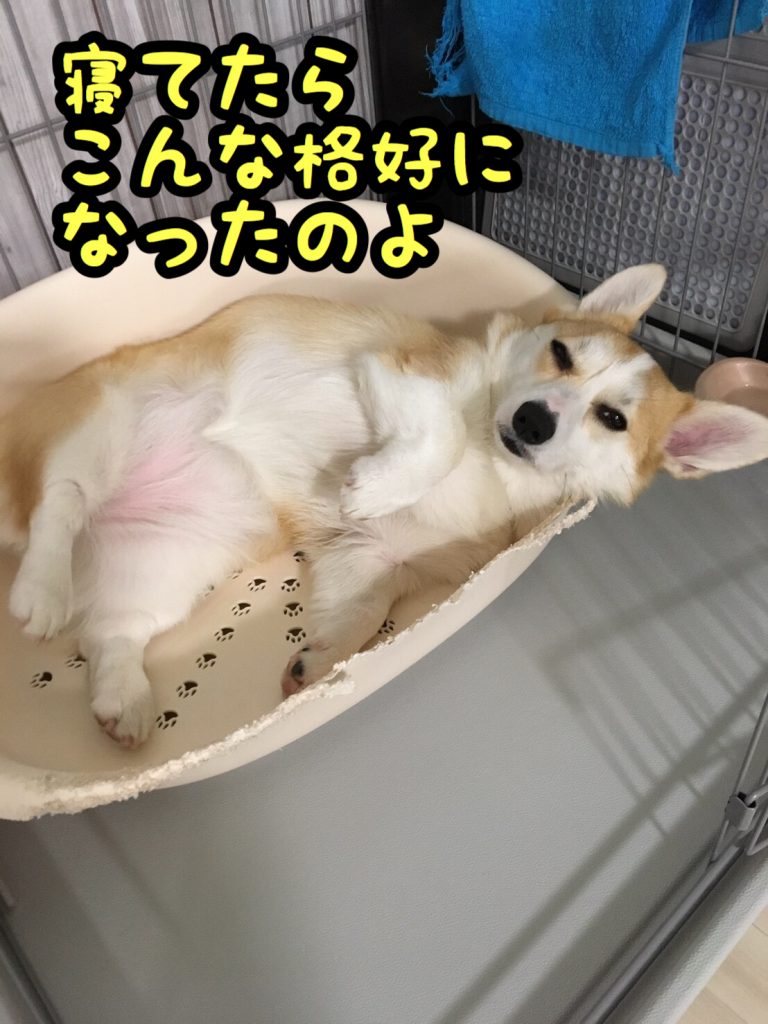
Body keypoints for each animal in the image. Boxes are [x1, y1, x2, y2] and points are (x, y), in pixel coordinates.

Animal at [1, 263, 766, 748]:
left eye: (613, 420)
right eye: (559, 354)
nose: (532, 421)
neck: (495, 468)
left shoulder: (374, 559)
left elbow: (364, 615)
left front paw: (319, 665)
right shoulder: (403, 377)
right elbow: (440, 437)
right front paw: (378, 483)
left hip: (171, 564)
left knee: (112, 633)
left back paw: (123, 701)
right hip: (103, 424)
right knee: (60, 502)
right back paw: (41, 591)